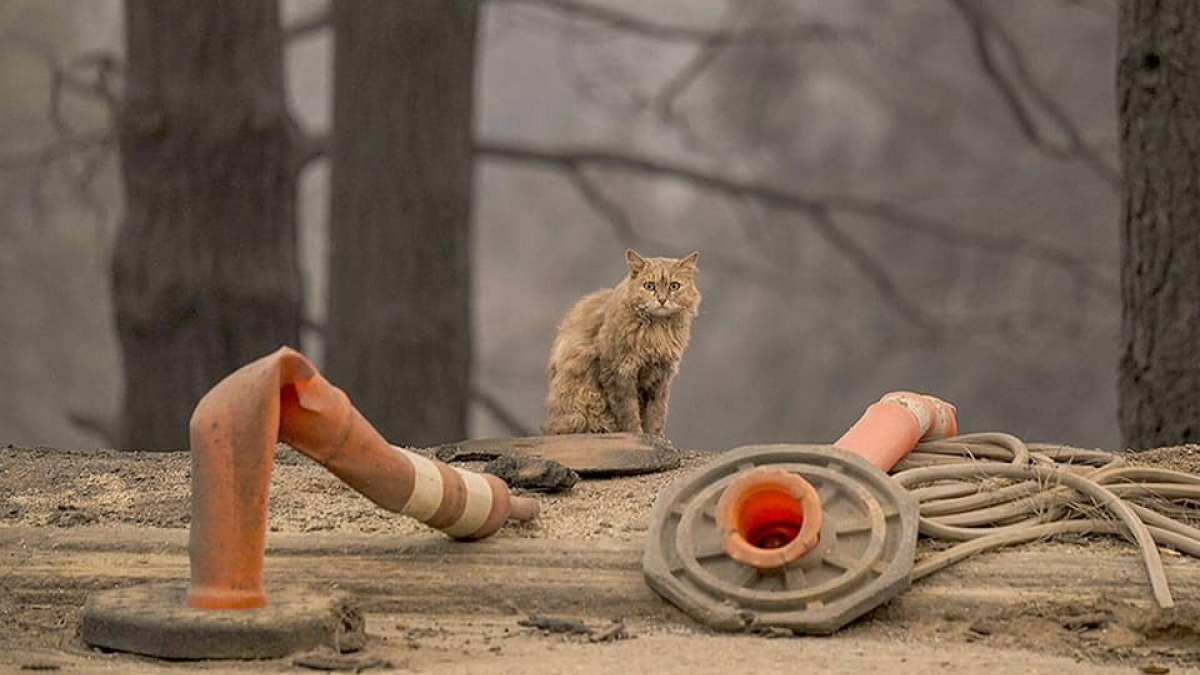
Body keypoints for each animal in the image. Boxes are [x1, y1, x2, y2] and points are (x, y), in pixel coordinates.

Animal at [542, 249, 700, 432]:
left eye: (674, 286)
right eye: (649, 286)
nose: (662, 300)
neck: (656, 332)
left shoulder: (661, 376)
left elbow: (656, 413)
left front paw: (655, 435)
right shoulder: (619, 372)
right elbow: (629, 413)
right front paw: (638, 433)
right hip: (581, 408)